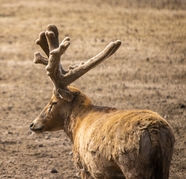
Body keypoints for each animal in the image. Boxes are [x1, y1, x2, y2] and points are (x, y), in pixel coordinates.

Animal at [29, 24, 175, 179]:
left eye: (53, 102)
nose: (33, 124)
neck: (76, 128)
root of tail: (155, 133)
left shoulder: (84, 168)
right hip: (165, 165)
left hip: (133, 166)